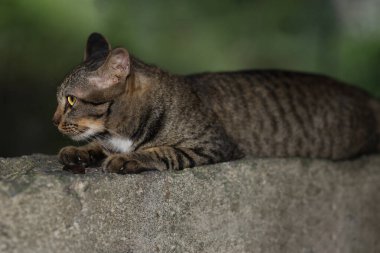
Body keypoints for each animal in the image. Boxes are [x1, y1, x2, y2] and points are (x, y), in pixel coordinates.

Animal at [52, 32, 380, 173]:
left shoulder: (212, 145)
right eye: (61, 99)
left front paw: (128, 158)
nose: (53, 120)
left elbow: (163, 152)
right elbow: (96, 145)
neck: (118, 132)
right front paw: (81, 152)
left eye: (71, 100)